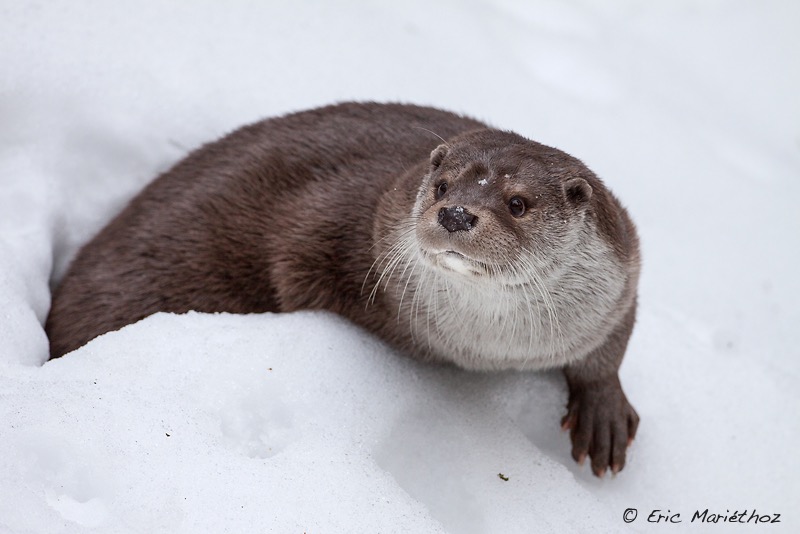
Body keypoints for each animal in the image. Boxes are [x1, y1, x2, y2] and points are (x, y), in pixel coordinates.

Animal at [47, 102, 640, 480]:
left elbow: (612, 342)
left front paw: (604, 412)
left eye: (517, 203)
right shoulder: (333, 220)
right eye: (441, 186)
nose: (454, 213)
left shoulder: (623, 274)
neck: (491, 349)